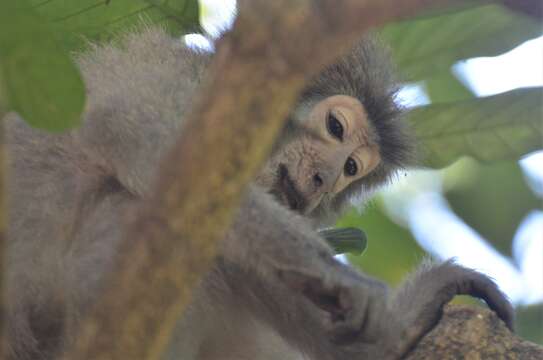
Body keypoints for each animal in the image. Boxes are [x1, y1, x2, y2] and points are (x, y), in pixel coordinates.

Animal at [4, 25, 516, 360]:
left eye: (351, 169)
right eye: (335, 127)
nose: (323, 180)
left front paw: (403, 320)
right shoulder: (168, 74)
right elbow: (142, 145)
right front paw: (337, 275)